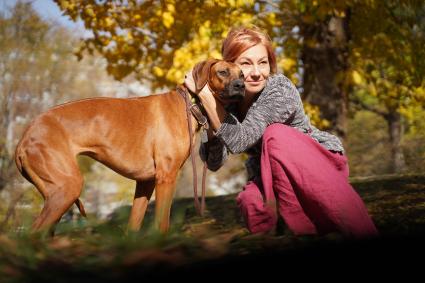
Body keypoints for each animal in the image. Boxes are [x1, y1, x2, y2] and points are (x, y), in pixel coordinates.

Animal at [14, 59, 245, 235]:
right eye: (223, 72)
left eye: (242, 74)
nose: (241, 86)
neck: (189, 103)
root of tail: (25, 137)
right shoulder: (166, 177)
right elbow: (162, 223)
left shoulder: (146, 182)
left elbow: (134, 224)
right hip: (67, 187)